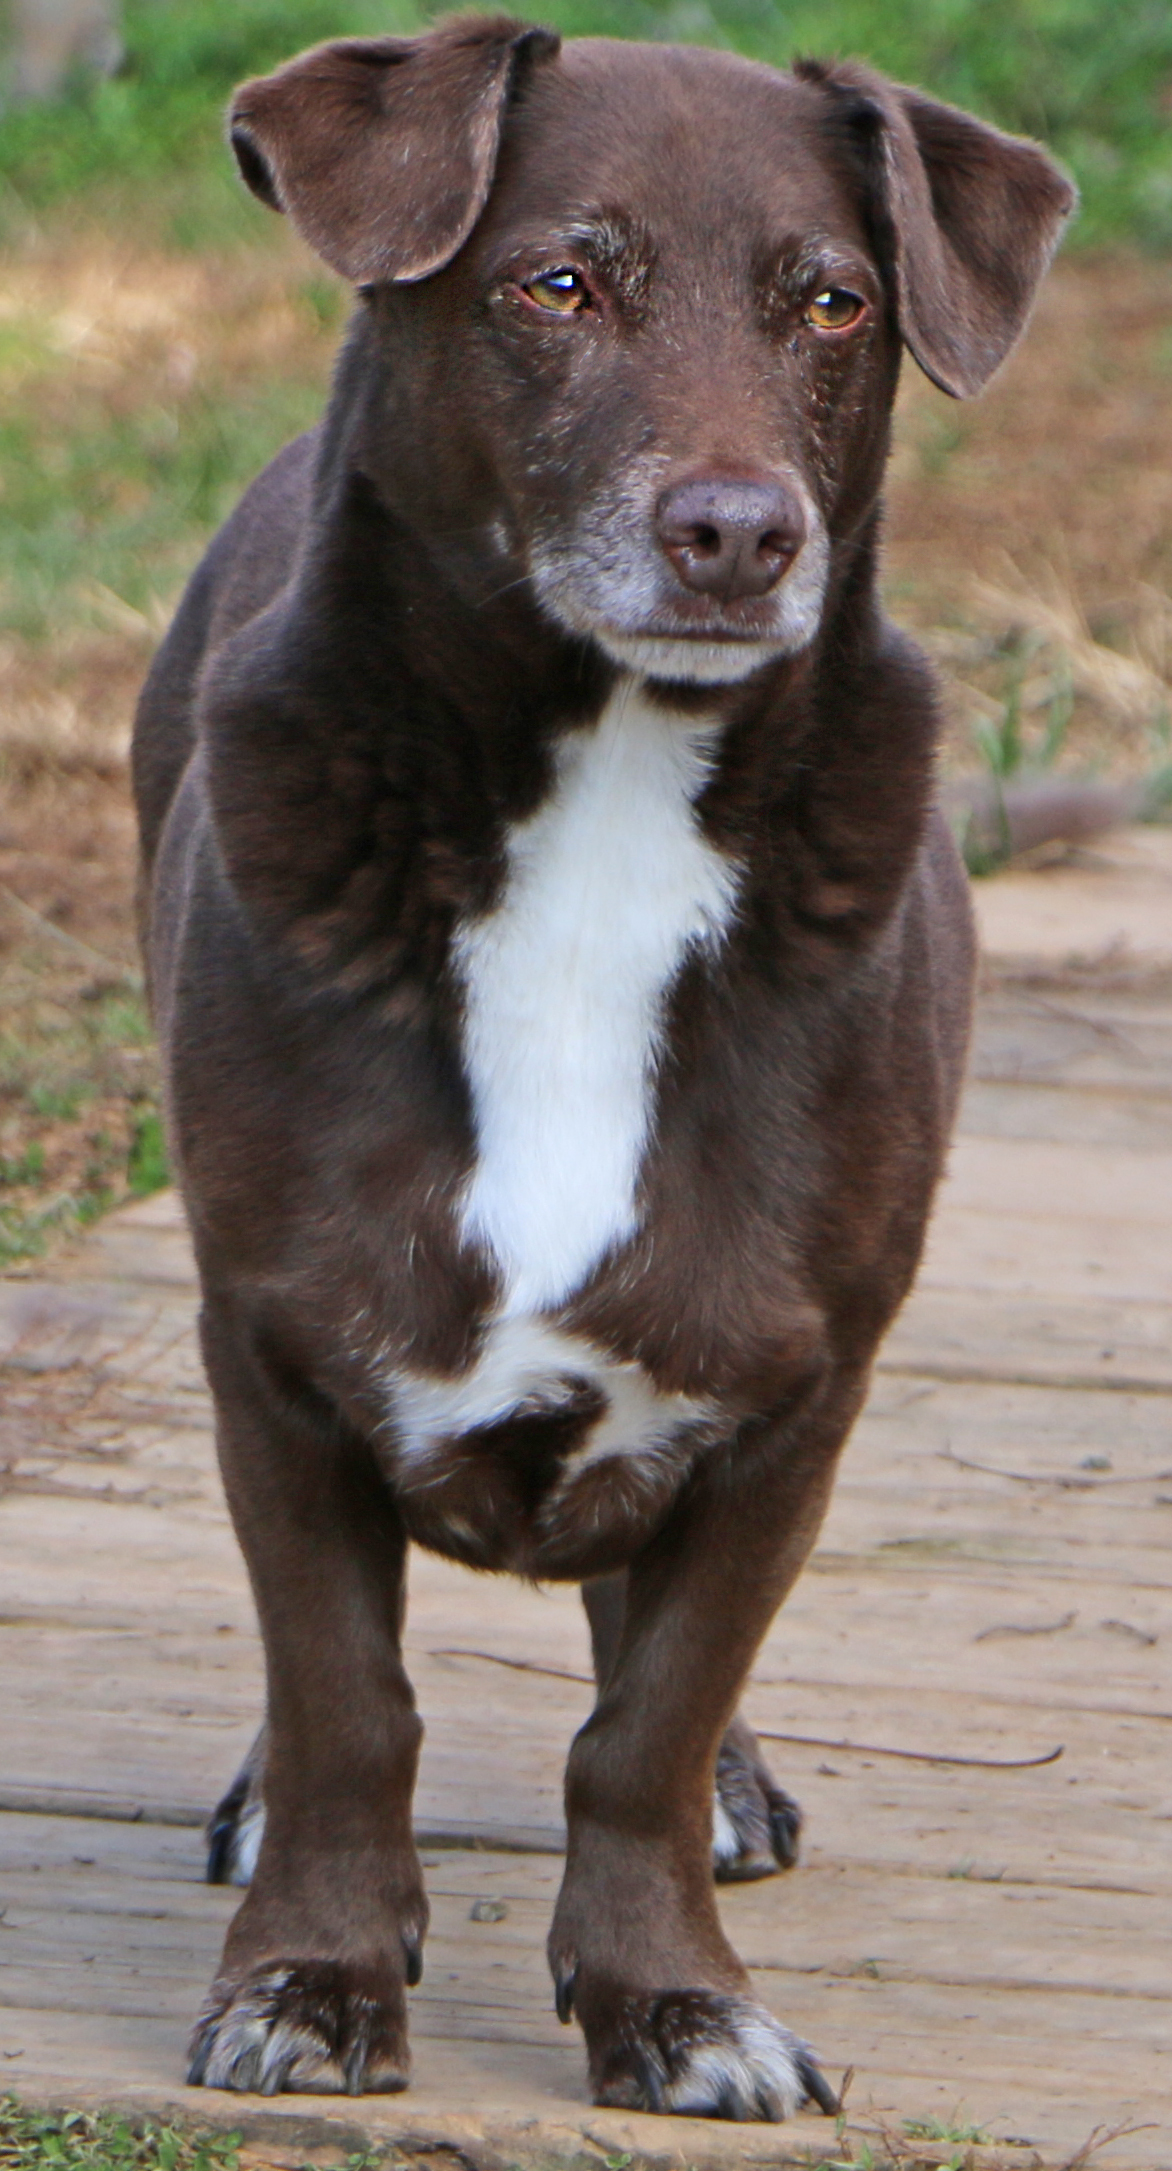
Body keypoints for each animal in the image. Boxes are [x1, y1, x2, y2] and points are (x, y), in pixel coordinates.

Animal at [130, 12, 1072, 2118]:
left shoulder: (791, 1390)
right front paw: (310, 1974)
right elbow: (348, 1698)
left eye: (834, 302)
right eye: (557, 284)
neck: (603, 798)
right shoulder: (278, 1353)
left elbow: (643, 1721)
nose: (737, 535)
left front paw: (673, 1996)